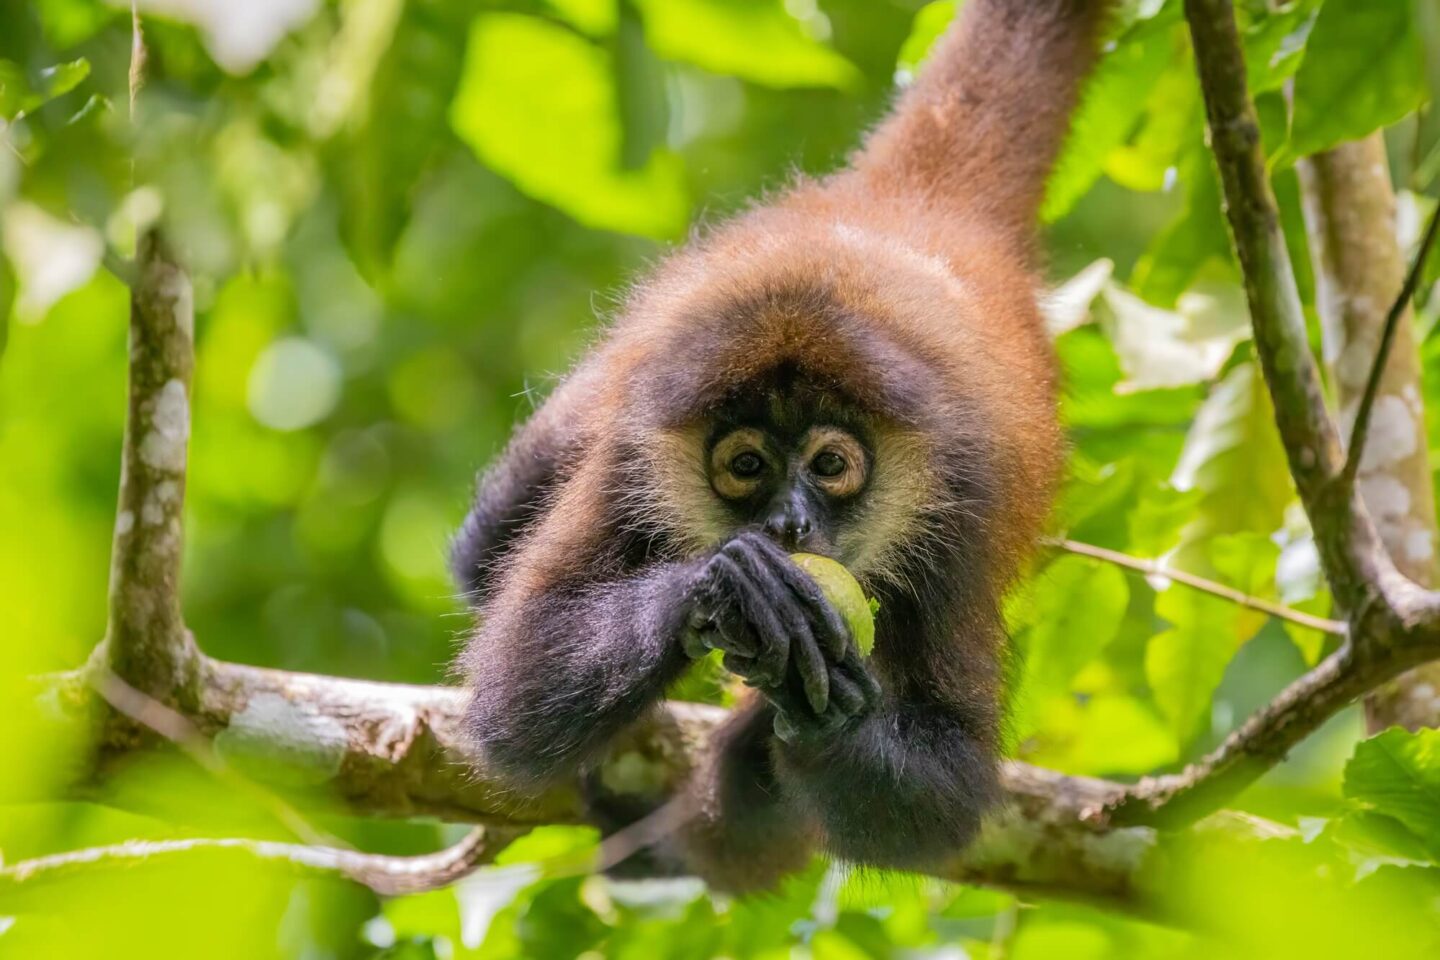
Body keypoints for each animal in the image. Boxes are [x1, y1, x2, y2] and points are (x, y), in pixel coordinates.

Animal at [455, 0, 1105, 892]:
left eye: (831, 466)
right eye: (746, 467)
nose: (790, 525)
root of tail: (904, 213)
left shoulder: (962, 500)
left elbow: (947, 793)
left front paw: (819, 711)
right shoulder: (632, 441)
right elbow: (511, 699)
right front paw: (725, 586)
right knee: (485, 548)